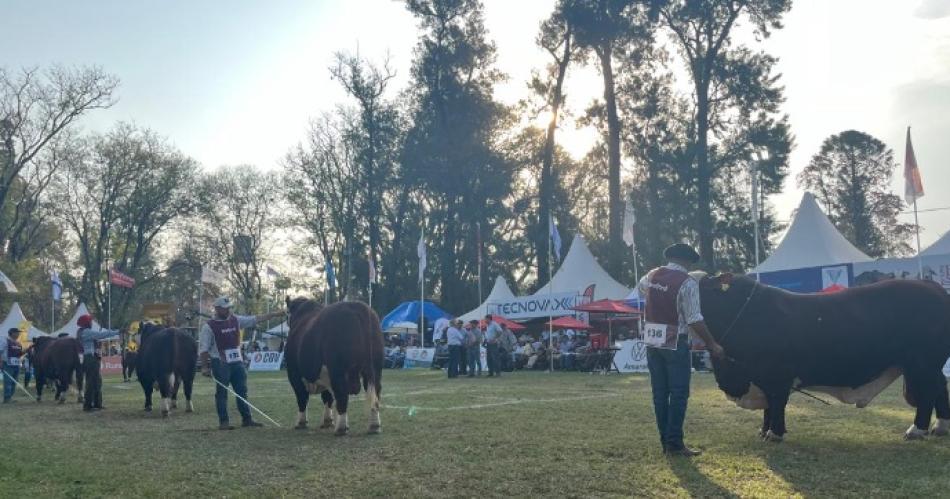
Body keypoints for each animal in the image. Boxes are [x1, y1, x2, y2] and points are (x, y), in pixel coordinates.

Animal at [284, 298, 384, 436]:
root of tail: (355, 306)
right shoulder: (325, 374)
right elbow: (327, 397)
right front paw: (327, 421)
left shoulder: (294, 373)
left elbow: (302, 397)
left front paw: (301, 422)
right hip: (375, 367)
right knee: (375, 393)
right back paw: (374, 426)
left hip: (338, 369)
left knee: (342, 393)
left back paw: (341, 428)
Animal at [700, 276, 950, 444]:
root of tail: (930, 285)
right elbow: (768, 408)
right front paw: (763, 431)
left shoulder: (777, 376)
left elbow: (776, 402)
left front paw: (773, 434)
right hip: (925, 366)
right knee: (940, 387)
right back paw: (940, 427)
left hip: (923, 363)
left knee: (930, 391)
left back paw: (916, 431)